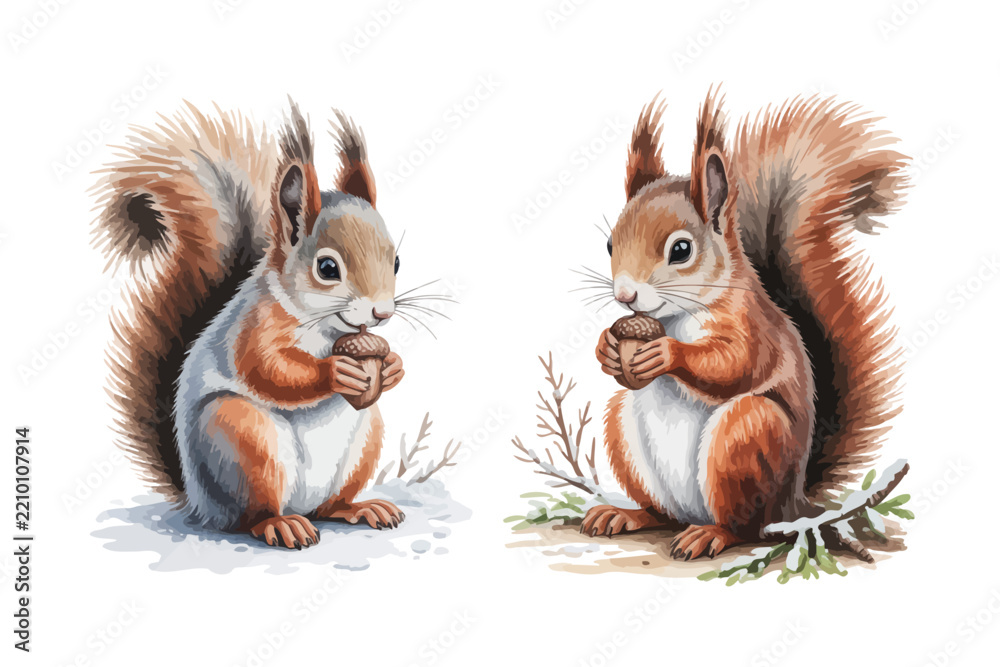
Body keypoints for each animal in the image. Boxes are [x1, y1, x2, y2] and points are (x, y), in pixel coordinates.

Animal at [92, 101, 408, 549]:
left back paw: (359, 508)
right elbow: (268, 369)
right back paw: (280, 524)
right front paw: (334, 372)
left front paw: (393, 366)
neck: (328, 327)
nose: (382, 313)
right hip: (242, 437)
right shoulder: (253, 327)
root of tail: (201, 504)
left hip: (366, 437)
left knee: (332, 506)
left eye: (395, 261)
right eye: (327, 268)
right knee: (251, 515)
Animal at [585, 90, 906, 560]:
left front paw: (667, 353)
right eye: (610, 243)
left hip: (745, 436)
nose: (625, 296)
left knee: (746, 526)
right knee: (662, 513)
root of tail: (793, 502)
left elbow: (735, 364)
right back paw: (627, 514)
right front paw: (607, 347)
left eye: (681, 250)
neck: (675, 315)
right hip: (621, 428)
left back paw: (710, 535)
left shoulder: (752, 326)